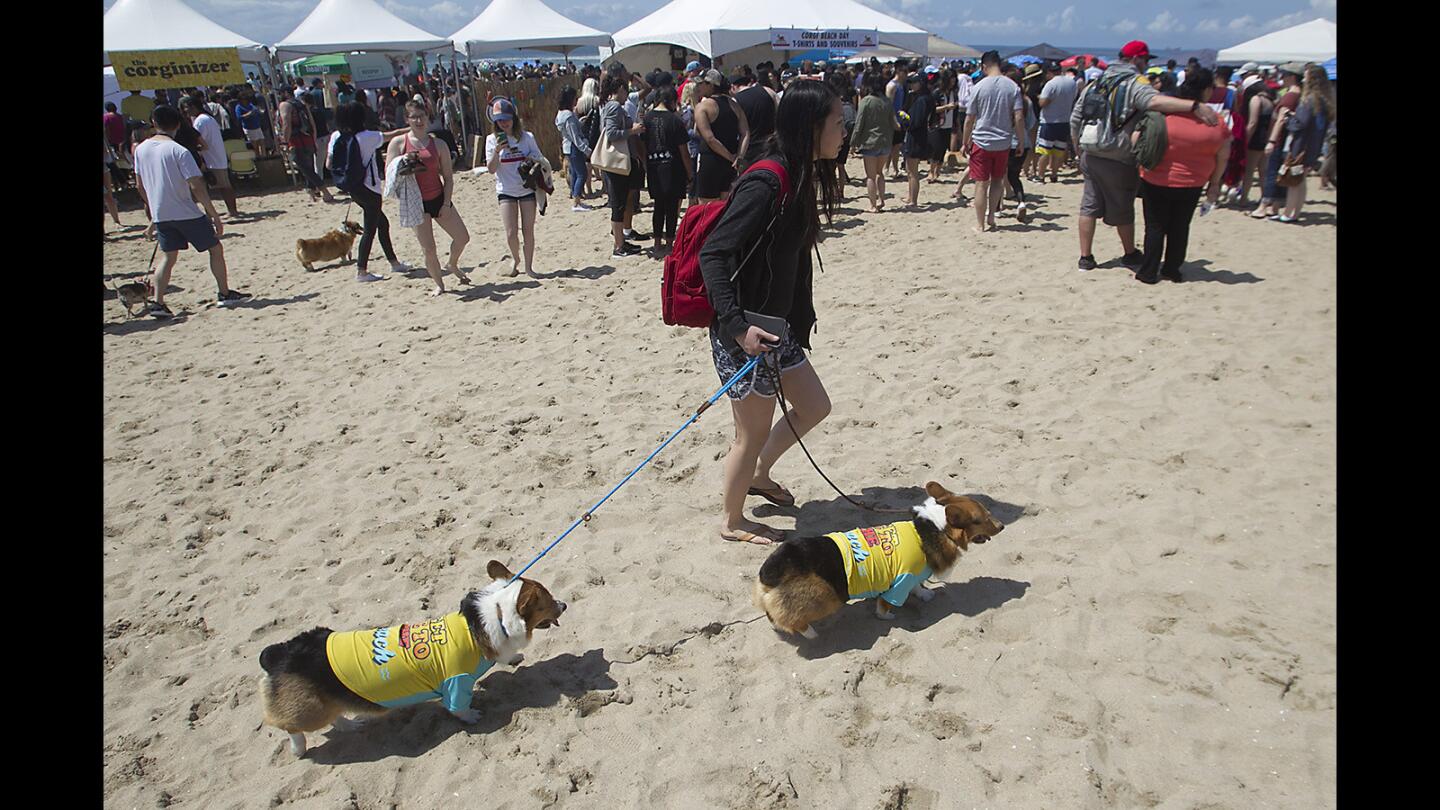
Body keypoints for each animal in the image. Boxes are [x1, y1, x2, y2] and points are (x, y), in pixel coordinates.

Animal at [262, 559, 564, 755]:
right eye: (548, 602)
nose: (564, 605)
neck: (484, 619)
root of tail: (279, 654)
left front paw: (514, 658)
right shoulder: (457, 682)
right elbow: (459, 707)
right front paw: (472, 716)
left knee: (335, 714)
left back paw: (351, 725)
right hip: (310, 710)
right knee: (290, 726)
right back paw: (299, 748)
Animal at [754, 478, 1002, 637]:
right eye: (983, 519)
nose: (1002, 526)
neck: (931, 528)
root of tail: (770, 571)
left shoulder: (913, 576)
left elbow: (918, 587)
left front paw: (925, 594)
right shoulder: (902, 580)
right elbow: (886, 605)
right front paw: (887, 617)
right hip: (827, 597)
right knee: (793, 620)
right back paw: (810, 633)